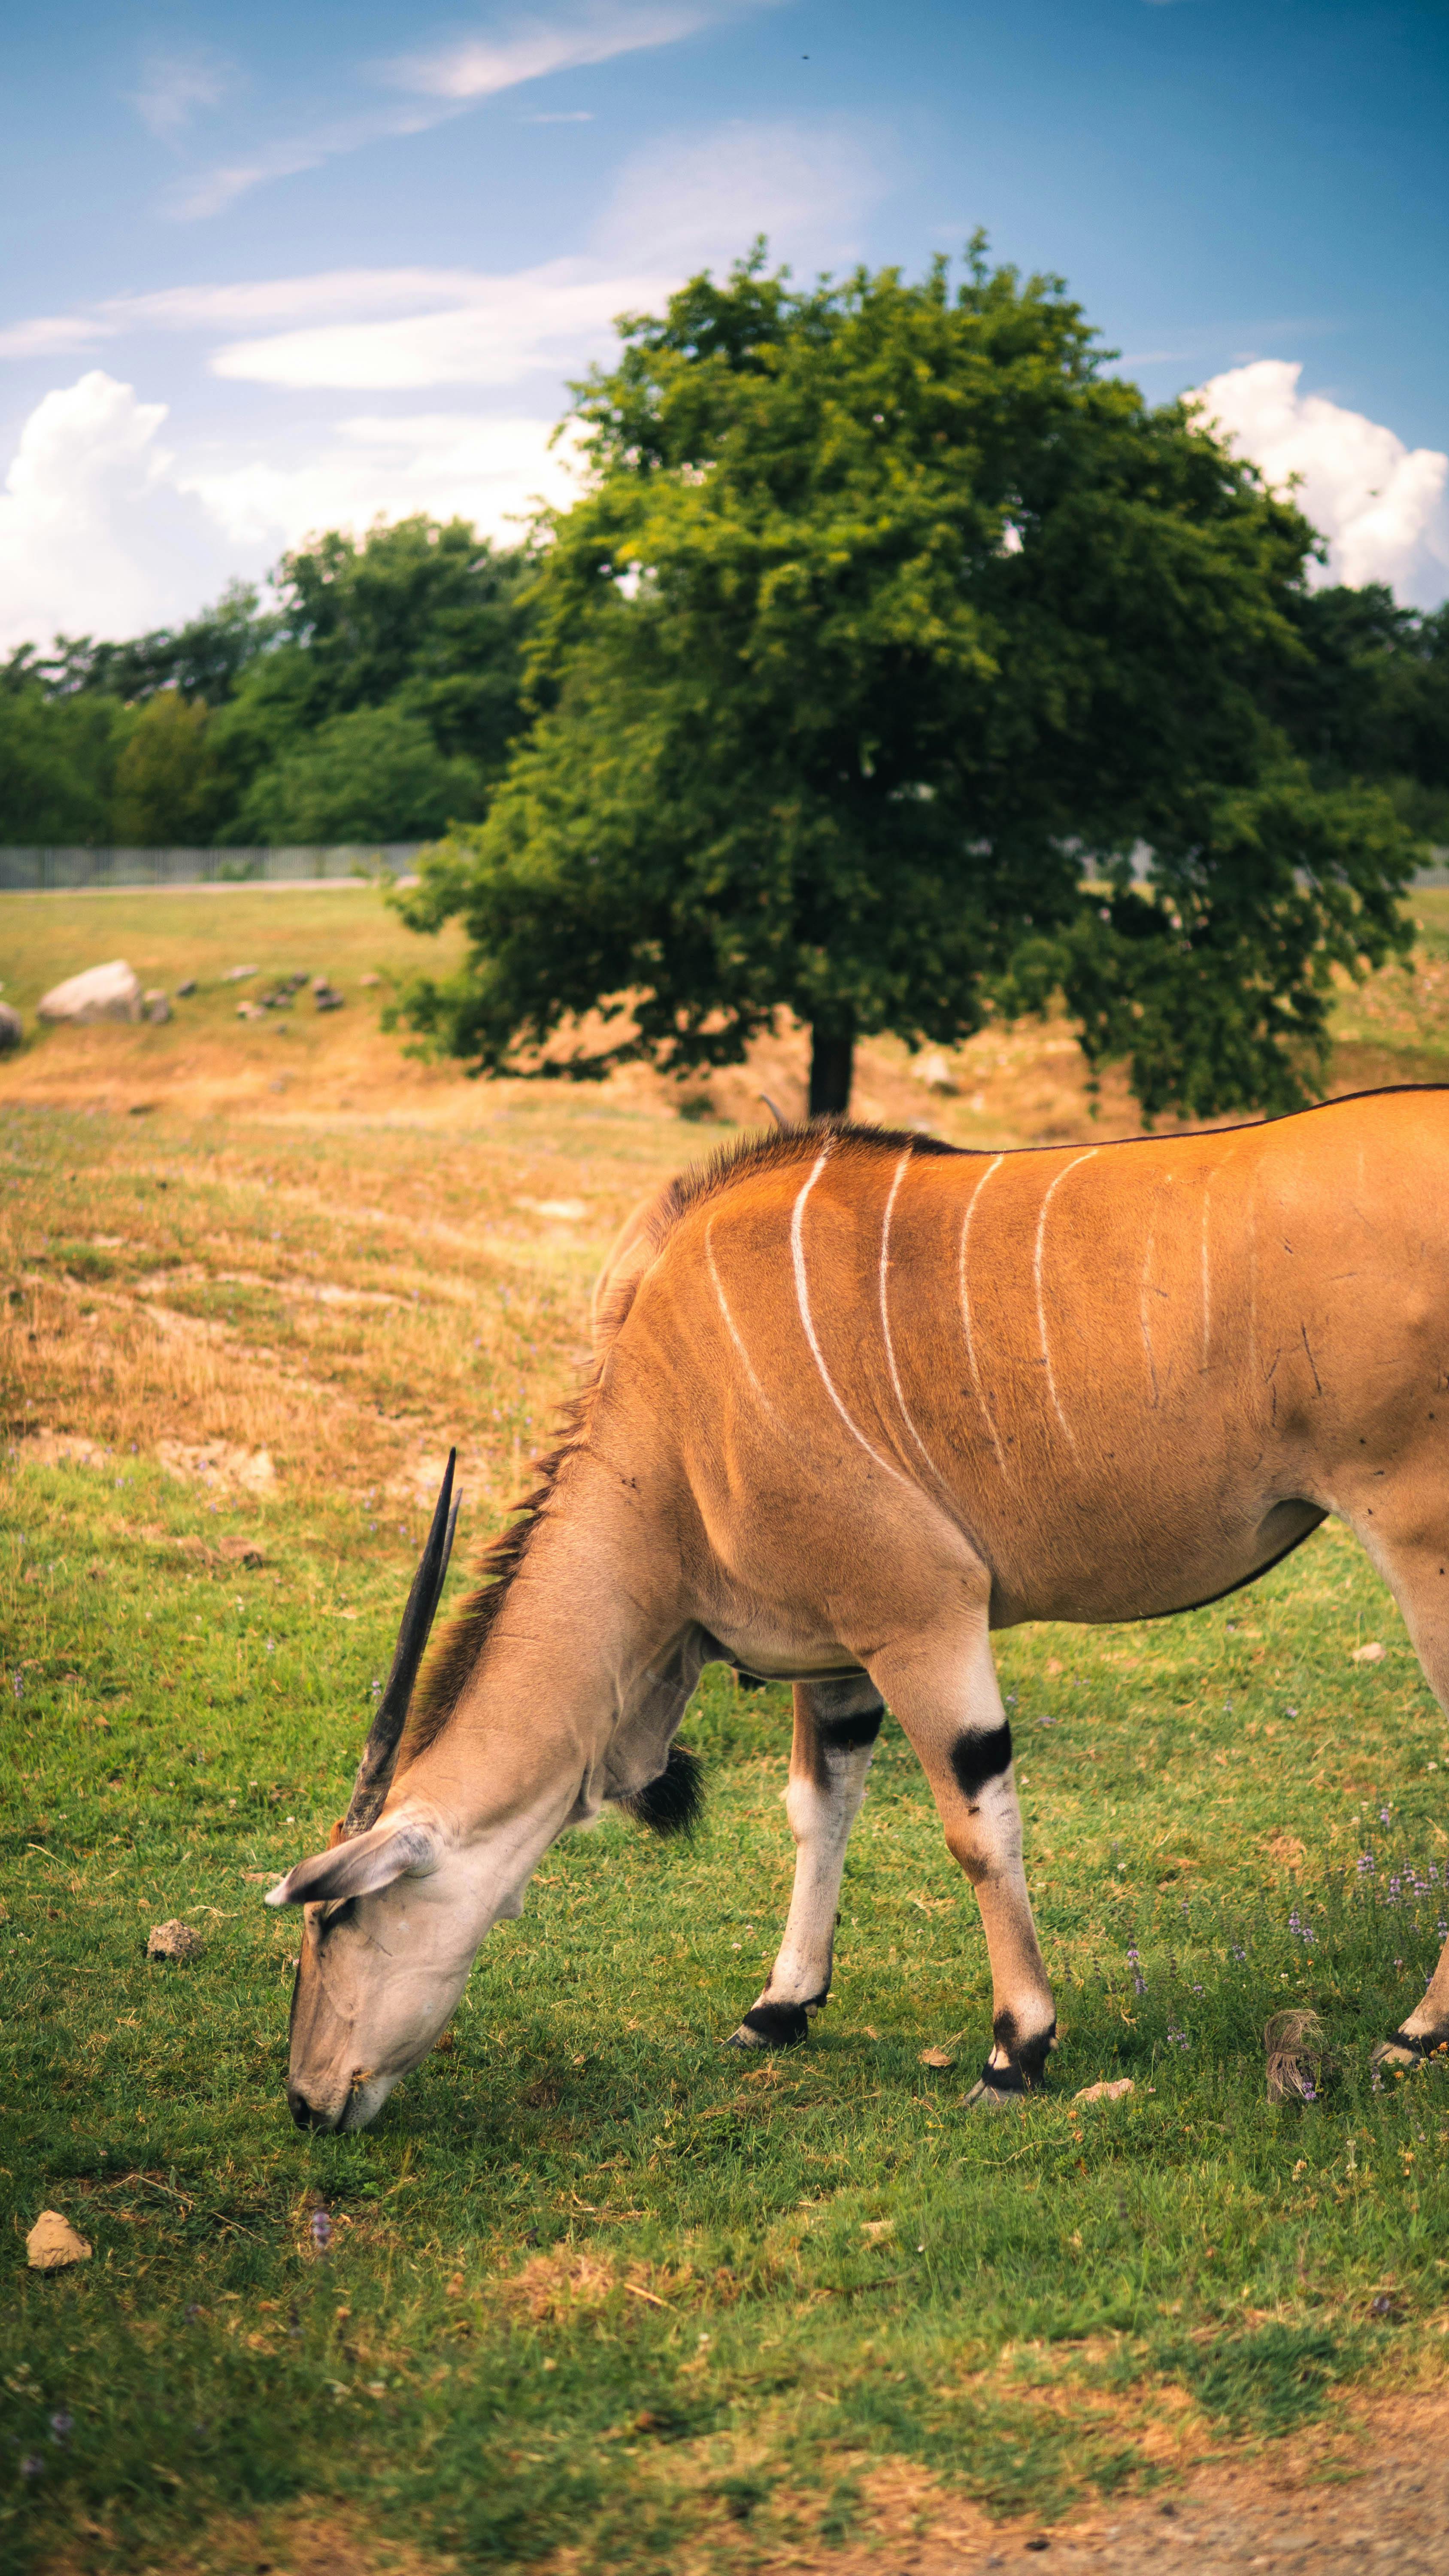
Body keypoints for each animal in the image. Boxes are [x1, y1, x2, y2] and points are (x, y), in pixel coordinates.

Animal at [271, 1092, 1449, 2130]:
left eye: (337, 1917)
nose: (307, 2102)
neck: (673, 1422)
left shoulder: (918, 1616)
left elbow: (975, 1825)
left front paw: (1015, 2052)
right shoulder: (835, 1646)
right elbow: (817, 1805)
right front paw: (779, 2007)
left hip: (1417, 1539)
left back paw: (1415, 2034)